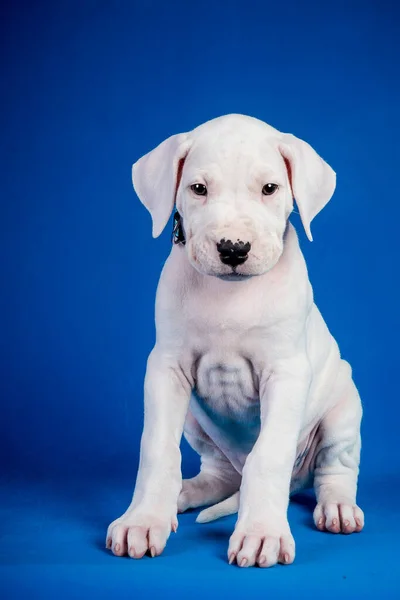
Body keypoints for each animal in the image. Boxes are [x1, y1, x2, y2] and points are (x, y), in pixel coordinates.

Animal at [105, 113, 362, 568]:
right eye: (198, 189)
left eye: (270, 189)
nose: (233, 248)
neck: (230, 296)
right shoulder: (165, 369)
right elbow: (157, 448)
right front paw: (143, 519)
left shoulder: (286, 374)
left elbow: (269, 455)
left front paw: (261, 532)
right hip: (196, 422)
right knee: (219, 475)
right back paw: (183, 494)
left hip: (344, 412)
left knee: (335, 470)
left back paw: (337, 507)